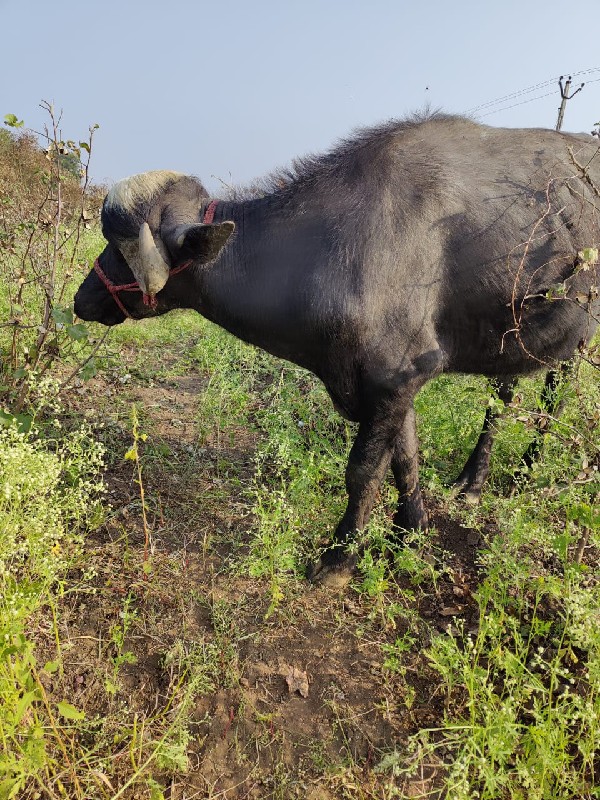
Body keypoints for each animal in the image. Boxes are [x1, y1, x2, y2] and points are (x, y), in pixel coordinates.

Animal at [75, 114, 600, 580]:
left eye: (121, 249)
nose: (81, 299)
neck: (326, 249)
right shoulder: (392, 384)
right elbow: (406, 459)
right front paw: (409, 533)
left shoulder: (397, 376)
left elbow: (364, 470)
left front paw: (340, 557)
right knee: (507, 392)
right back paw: (474, 480)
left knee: (549, 396)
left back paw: (522, 469)